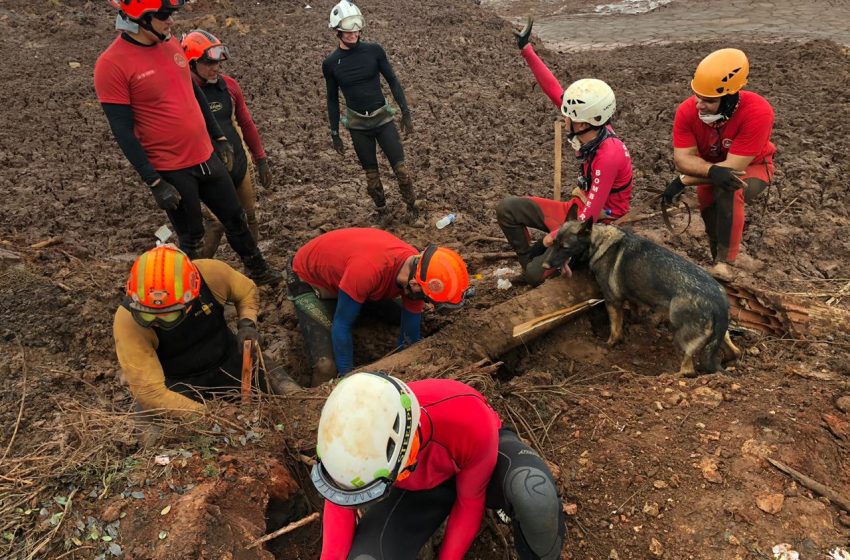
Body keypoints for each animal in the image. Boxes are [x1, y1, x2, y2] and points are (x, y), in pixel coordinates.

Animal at [544, 221, 736, 374]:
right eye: (554, 244)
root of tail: (718, 301)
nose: (544, 265)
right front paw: (635, 322)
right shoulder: (631, 296)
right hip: (720, 335)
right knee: (735, 351)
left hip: (682, 337)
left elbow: (615, 330)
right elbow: (634, 310)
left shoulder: (612, 301)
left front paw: (610, 344)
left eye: (564, 247)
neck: (599, 241)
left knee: (688, 370)